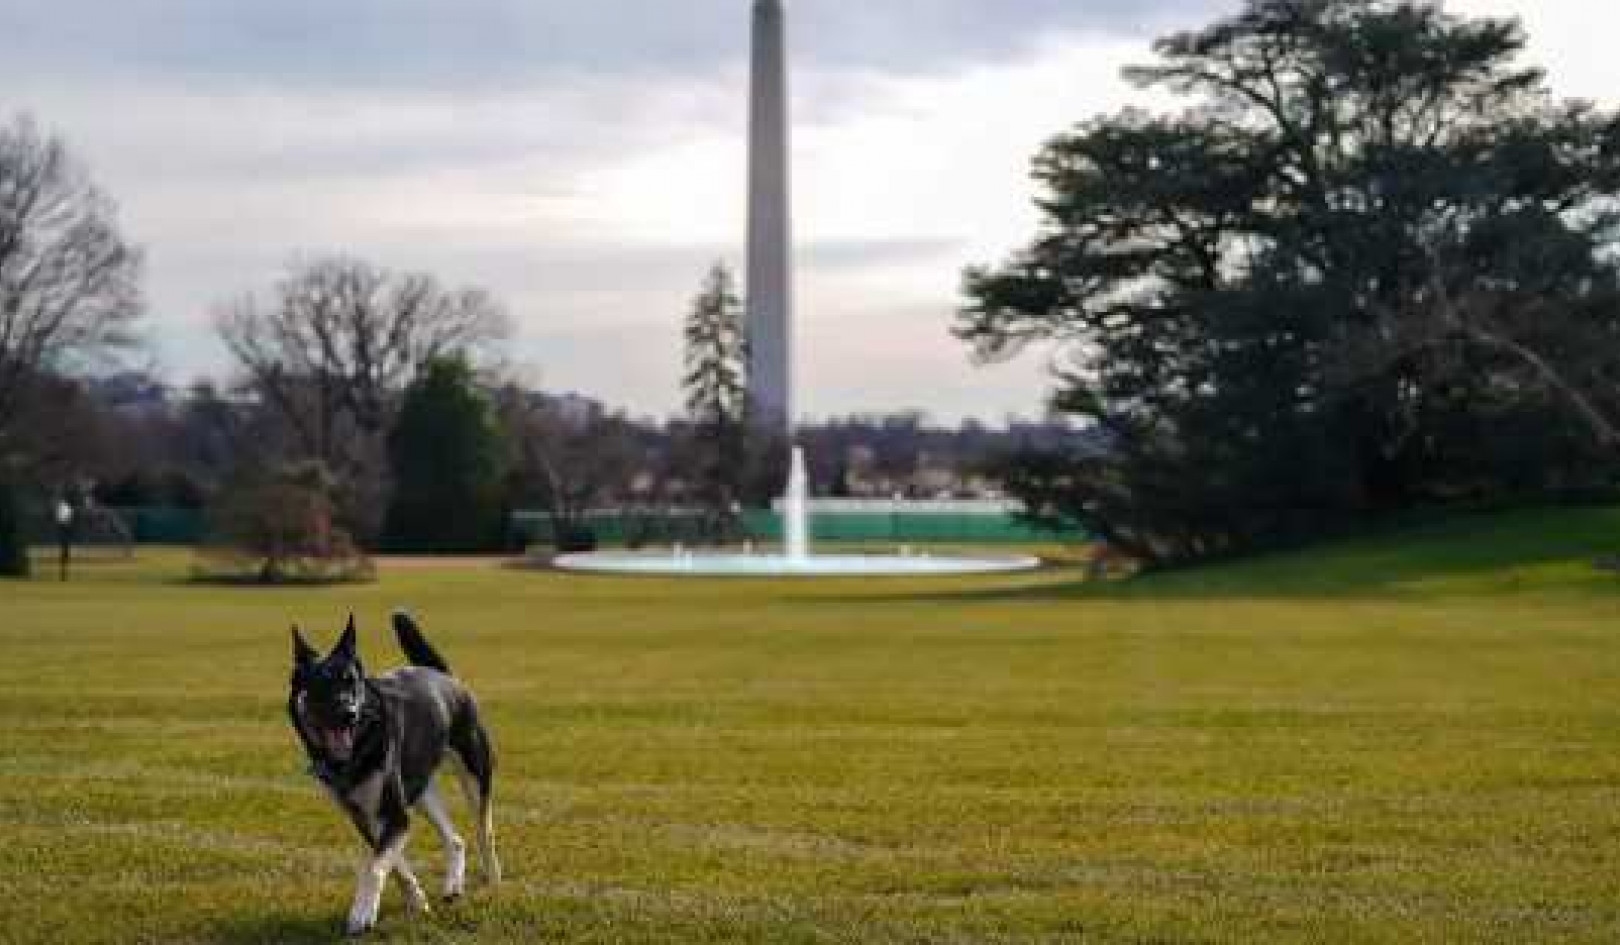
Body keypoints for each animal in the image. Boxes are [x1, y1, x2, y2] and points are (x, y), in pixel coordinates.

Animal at [288, 612, 495, 940]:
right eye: (320, 684)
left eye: (353, 682)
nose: (349, 713)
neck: (356, 751)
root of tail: (444, 675)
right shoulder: (368, 818)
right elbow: (394, 865)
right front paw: (417, 900)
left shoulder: (395, 815)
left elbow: (374, 866)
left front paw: (361, 914)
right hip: (422, 793)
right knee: (456, 839)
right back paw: (453, 886)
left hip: (475, 775)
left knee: (484, 829)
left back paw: (492, 878)